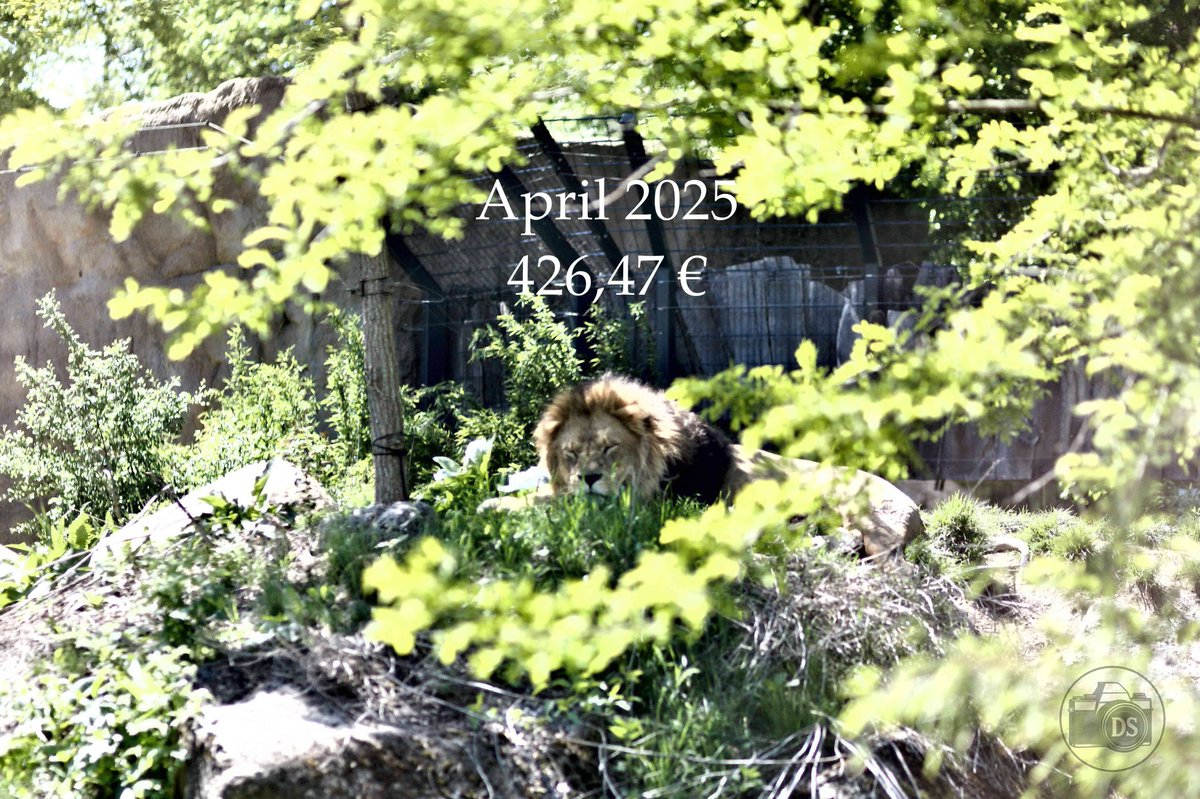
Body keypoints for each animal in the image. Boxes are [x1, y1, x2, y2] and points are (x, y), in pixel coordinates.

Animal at [481, 375, 924, 556]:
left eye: (610, 448)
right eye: (571, 453)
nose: (589, 478)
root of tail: (916, 511)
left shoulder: (649, 506)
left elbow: (550, 504)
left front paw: (496, 508)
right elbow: (547, 496)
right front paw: (496, 503)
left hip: (859, 509)